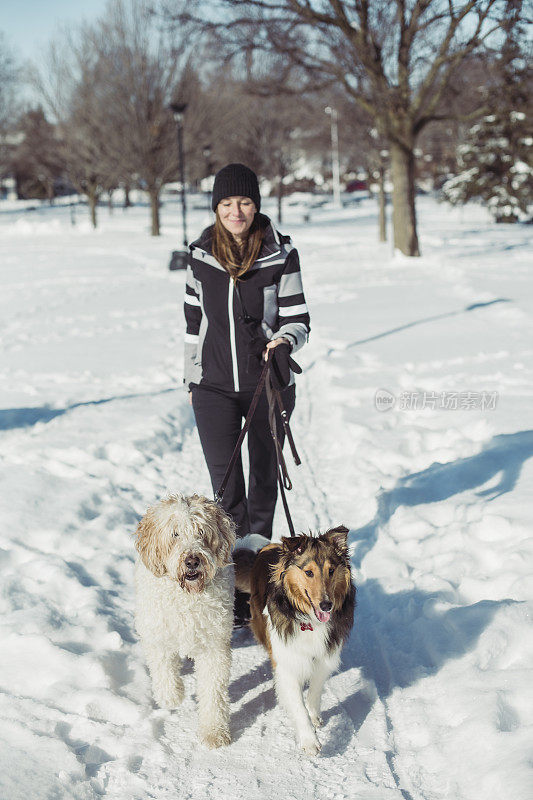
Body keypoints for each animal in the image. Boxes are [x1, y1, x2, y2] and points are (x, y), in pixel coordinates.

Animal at [134, 494, 234, 752]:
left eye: (201, 532)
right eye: (175, 534)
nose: (192, 561)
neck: (187, 597)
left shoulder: (213, 646)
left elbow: (213, 693)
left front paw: (214, 732)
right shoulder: (158, 635)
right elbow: (163, 670)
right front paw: (171, 697)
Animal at [235, 528, 356, 752]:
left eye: (331, 570)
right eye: (308, 572)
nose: (326, 605)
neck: (308, 619)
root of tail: (267, 547)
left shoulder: (324, 657)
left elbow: (315, 691)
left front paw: (314, 716)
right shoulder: (288, 662)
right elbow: (298, 705)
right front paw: (309, 740)